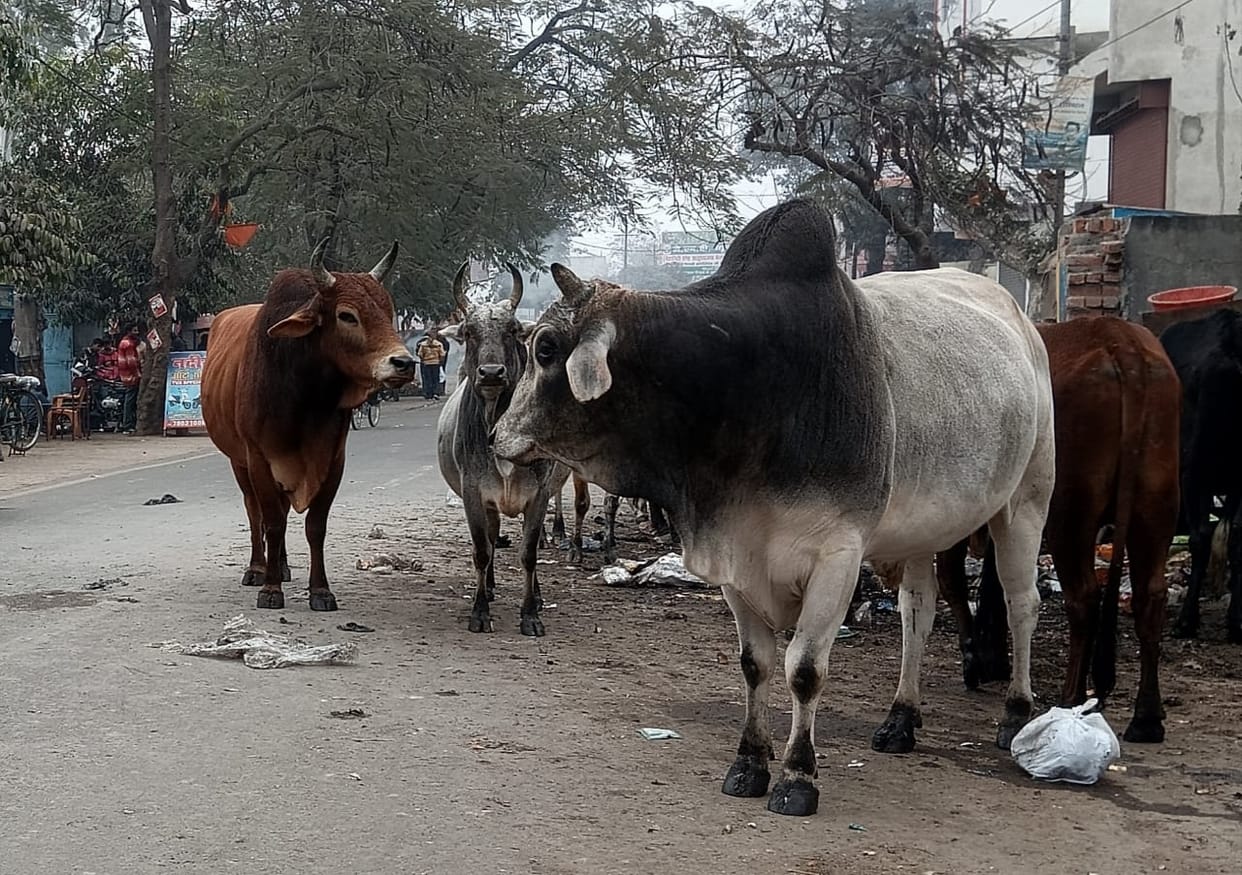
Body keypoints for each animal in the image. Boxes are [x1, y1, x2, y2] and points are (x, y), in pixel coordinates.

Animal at [201, 240, 417, 611]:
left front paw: (320, 590)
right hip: (238, 461)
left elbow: (315, 526)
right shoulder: (259, 458)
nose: (403, 363)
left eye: (389, 312)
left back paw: (283, 565)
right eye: (347, 315)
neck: (303, 395)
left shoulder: (332, 459)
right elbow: (271, 522)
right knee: (254, 512)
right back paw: (258, 568)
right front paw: (270, 589)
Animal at [437, 262, 567, 636]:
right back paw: (491, 587)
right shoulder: (474, 493)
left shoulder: (539, 493)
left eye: (511, 331)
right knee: (492, 540)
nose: (492, 373)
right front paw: (480, 611)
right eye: (469, 332)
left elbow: (529, 553)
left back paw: (536, 595)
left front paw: (531, 614)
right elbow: (482, 550)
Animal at [491, 199, 1054, 817]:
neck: (747, 387)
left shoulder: (838, 555)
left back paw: (1016, 715)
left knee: (1022, 602)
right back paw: (901, 719)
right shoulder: (735, 555)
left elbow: (803, 670)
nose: (496, 436)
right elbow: (755, 664)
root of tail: (1023, 321)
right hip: (921, 531)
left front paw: (797, 777)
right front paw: (748, 764)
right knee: (917, 612)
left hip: (1026, 502)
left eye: (545, 348)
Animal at [938, 317, 1181, 743]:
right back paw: (1146, 716)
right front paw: (992, 658)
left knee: (1083, 597)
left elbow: (954, 580)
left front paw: (974, 659)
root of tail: (1123, 343)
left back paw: (1071, 696)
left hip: (1070, 513)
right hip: (1156, 505)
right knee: (1150, 598)